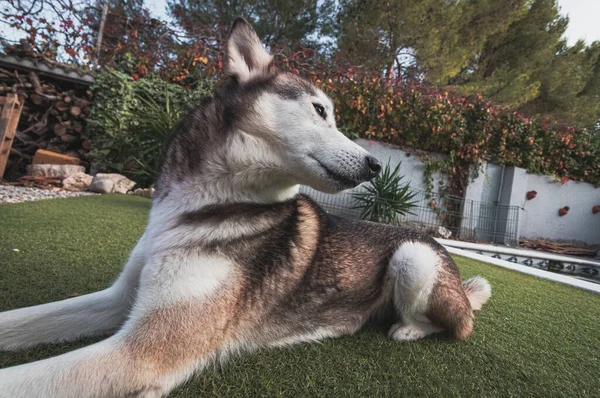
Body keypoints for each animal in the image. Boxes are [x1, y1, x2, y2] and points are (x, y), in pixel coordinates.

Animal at [0, 17, 490, 398]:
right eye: (320, 110)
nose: (375, 165)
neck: (203, 205)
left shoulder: (145, 348)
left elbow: (22, 379)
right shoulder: (121, 297)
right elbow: (20, 321)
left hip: (414, 256)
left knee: (459, 326)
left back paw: (408, 328)